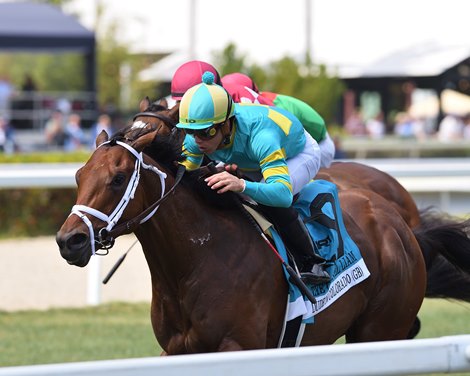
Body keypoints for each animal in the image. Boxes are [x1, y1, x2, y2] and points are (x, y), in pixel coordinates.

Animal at [56, 128, 470, 354]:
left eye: (117, 178)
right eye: (79, 175)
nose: (69, 240)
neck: (197, 260)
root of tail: (404, 230)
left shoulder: (240, 346)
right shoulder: (175, 350)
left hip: (379, 330)